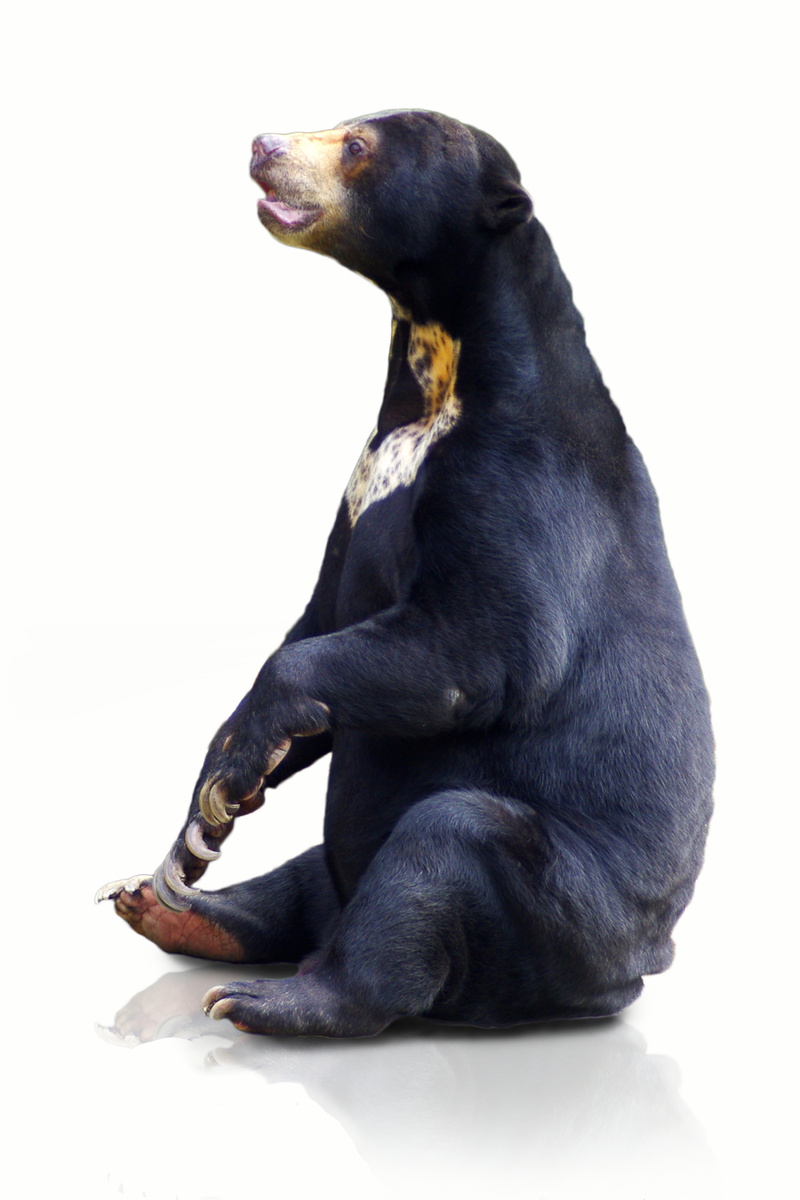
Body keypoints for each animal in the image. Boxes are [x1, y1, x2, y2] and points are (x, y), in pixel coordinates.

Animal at [97, 109, 714, 1037]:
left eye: (358, 145)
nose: (261, 146)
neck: (434, 377)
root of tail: (638, 969)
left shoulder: (525, 480)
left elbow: (483, 645)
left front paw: (240, 759)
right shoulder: (362, 490)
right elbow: (321, 619)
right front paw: (214, 803)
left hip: (559, 901)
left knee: (431, 863)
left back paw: (275, 999)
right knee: (307, 880)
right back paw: (169, 903)